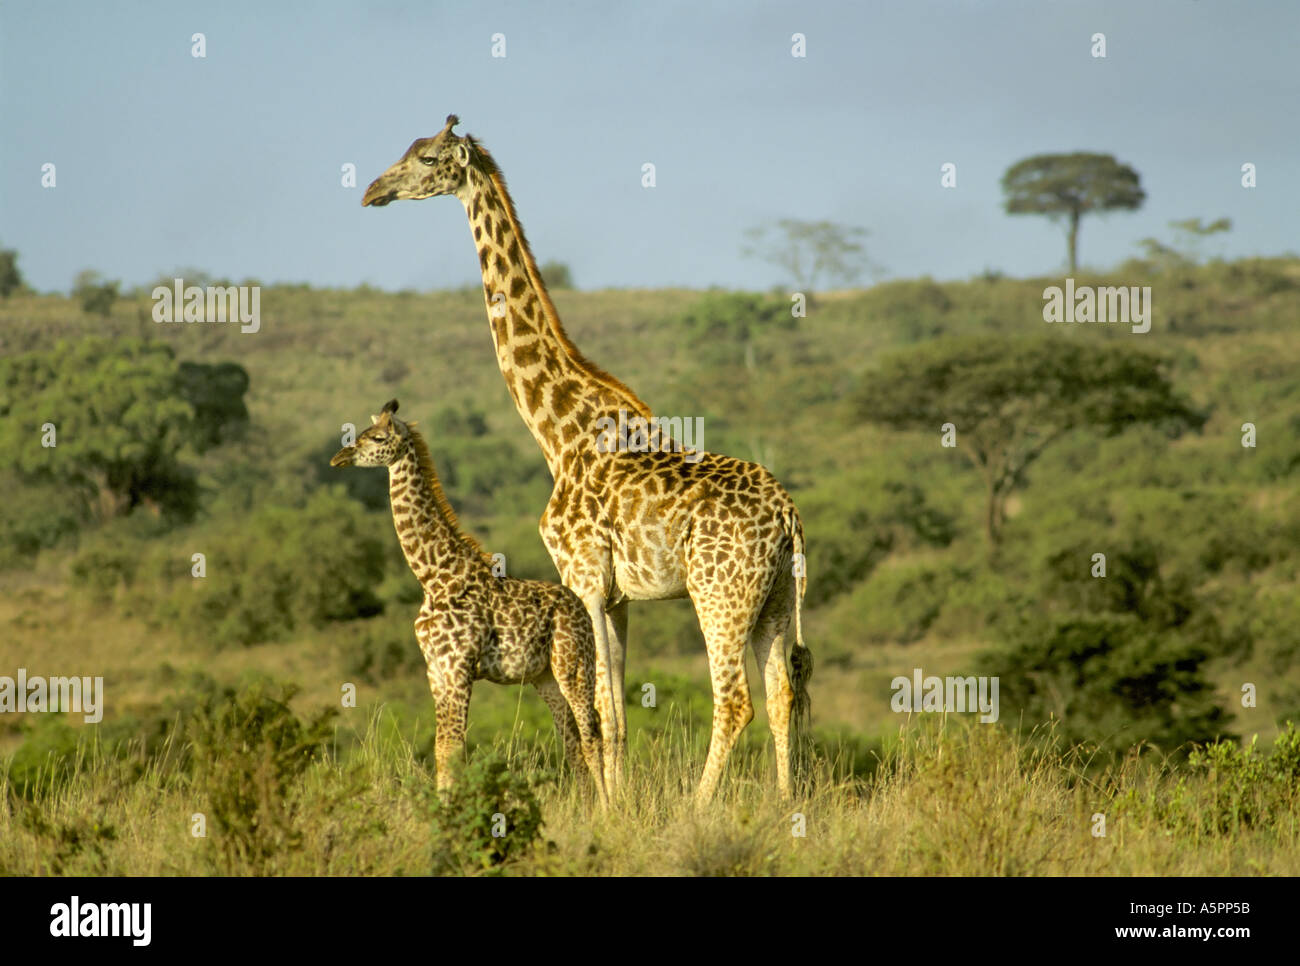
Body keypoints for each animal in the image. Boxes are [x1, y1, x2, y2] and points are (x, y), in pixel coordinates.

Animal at [331, 398, 608, 807]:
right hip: (544, 677)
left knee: (592, 734)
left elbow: (454, 749)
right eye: (360, 434)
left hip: (573, 665)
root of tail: (583, 612)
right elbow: (443, 748)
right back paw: (588, 810)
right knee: (571, 740)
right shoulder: (436, 670)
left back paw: (611, 809)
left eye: (377, 438)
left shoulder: (459, 666)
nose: (339, 458)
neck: (434, 577)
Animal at [362, 116, 812, 802]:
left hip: (719, 592)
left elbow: (597, 710)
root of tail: (789, 517)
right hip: (777, 597)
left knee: (735, 700)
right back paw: (785, 808)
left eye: (429, 159)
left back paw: (697, 809)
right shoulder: (616, 595)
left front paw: (611, 809)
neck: (558, 432)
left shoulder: (583, 579)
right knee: (782, 693)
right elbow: (615, 714)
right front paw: (616, 802)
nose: (372, 191)